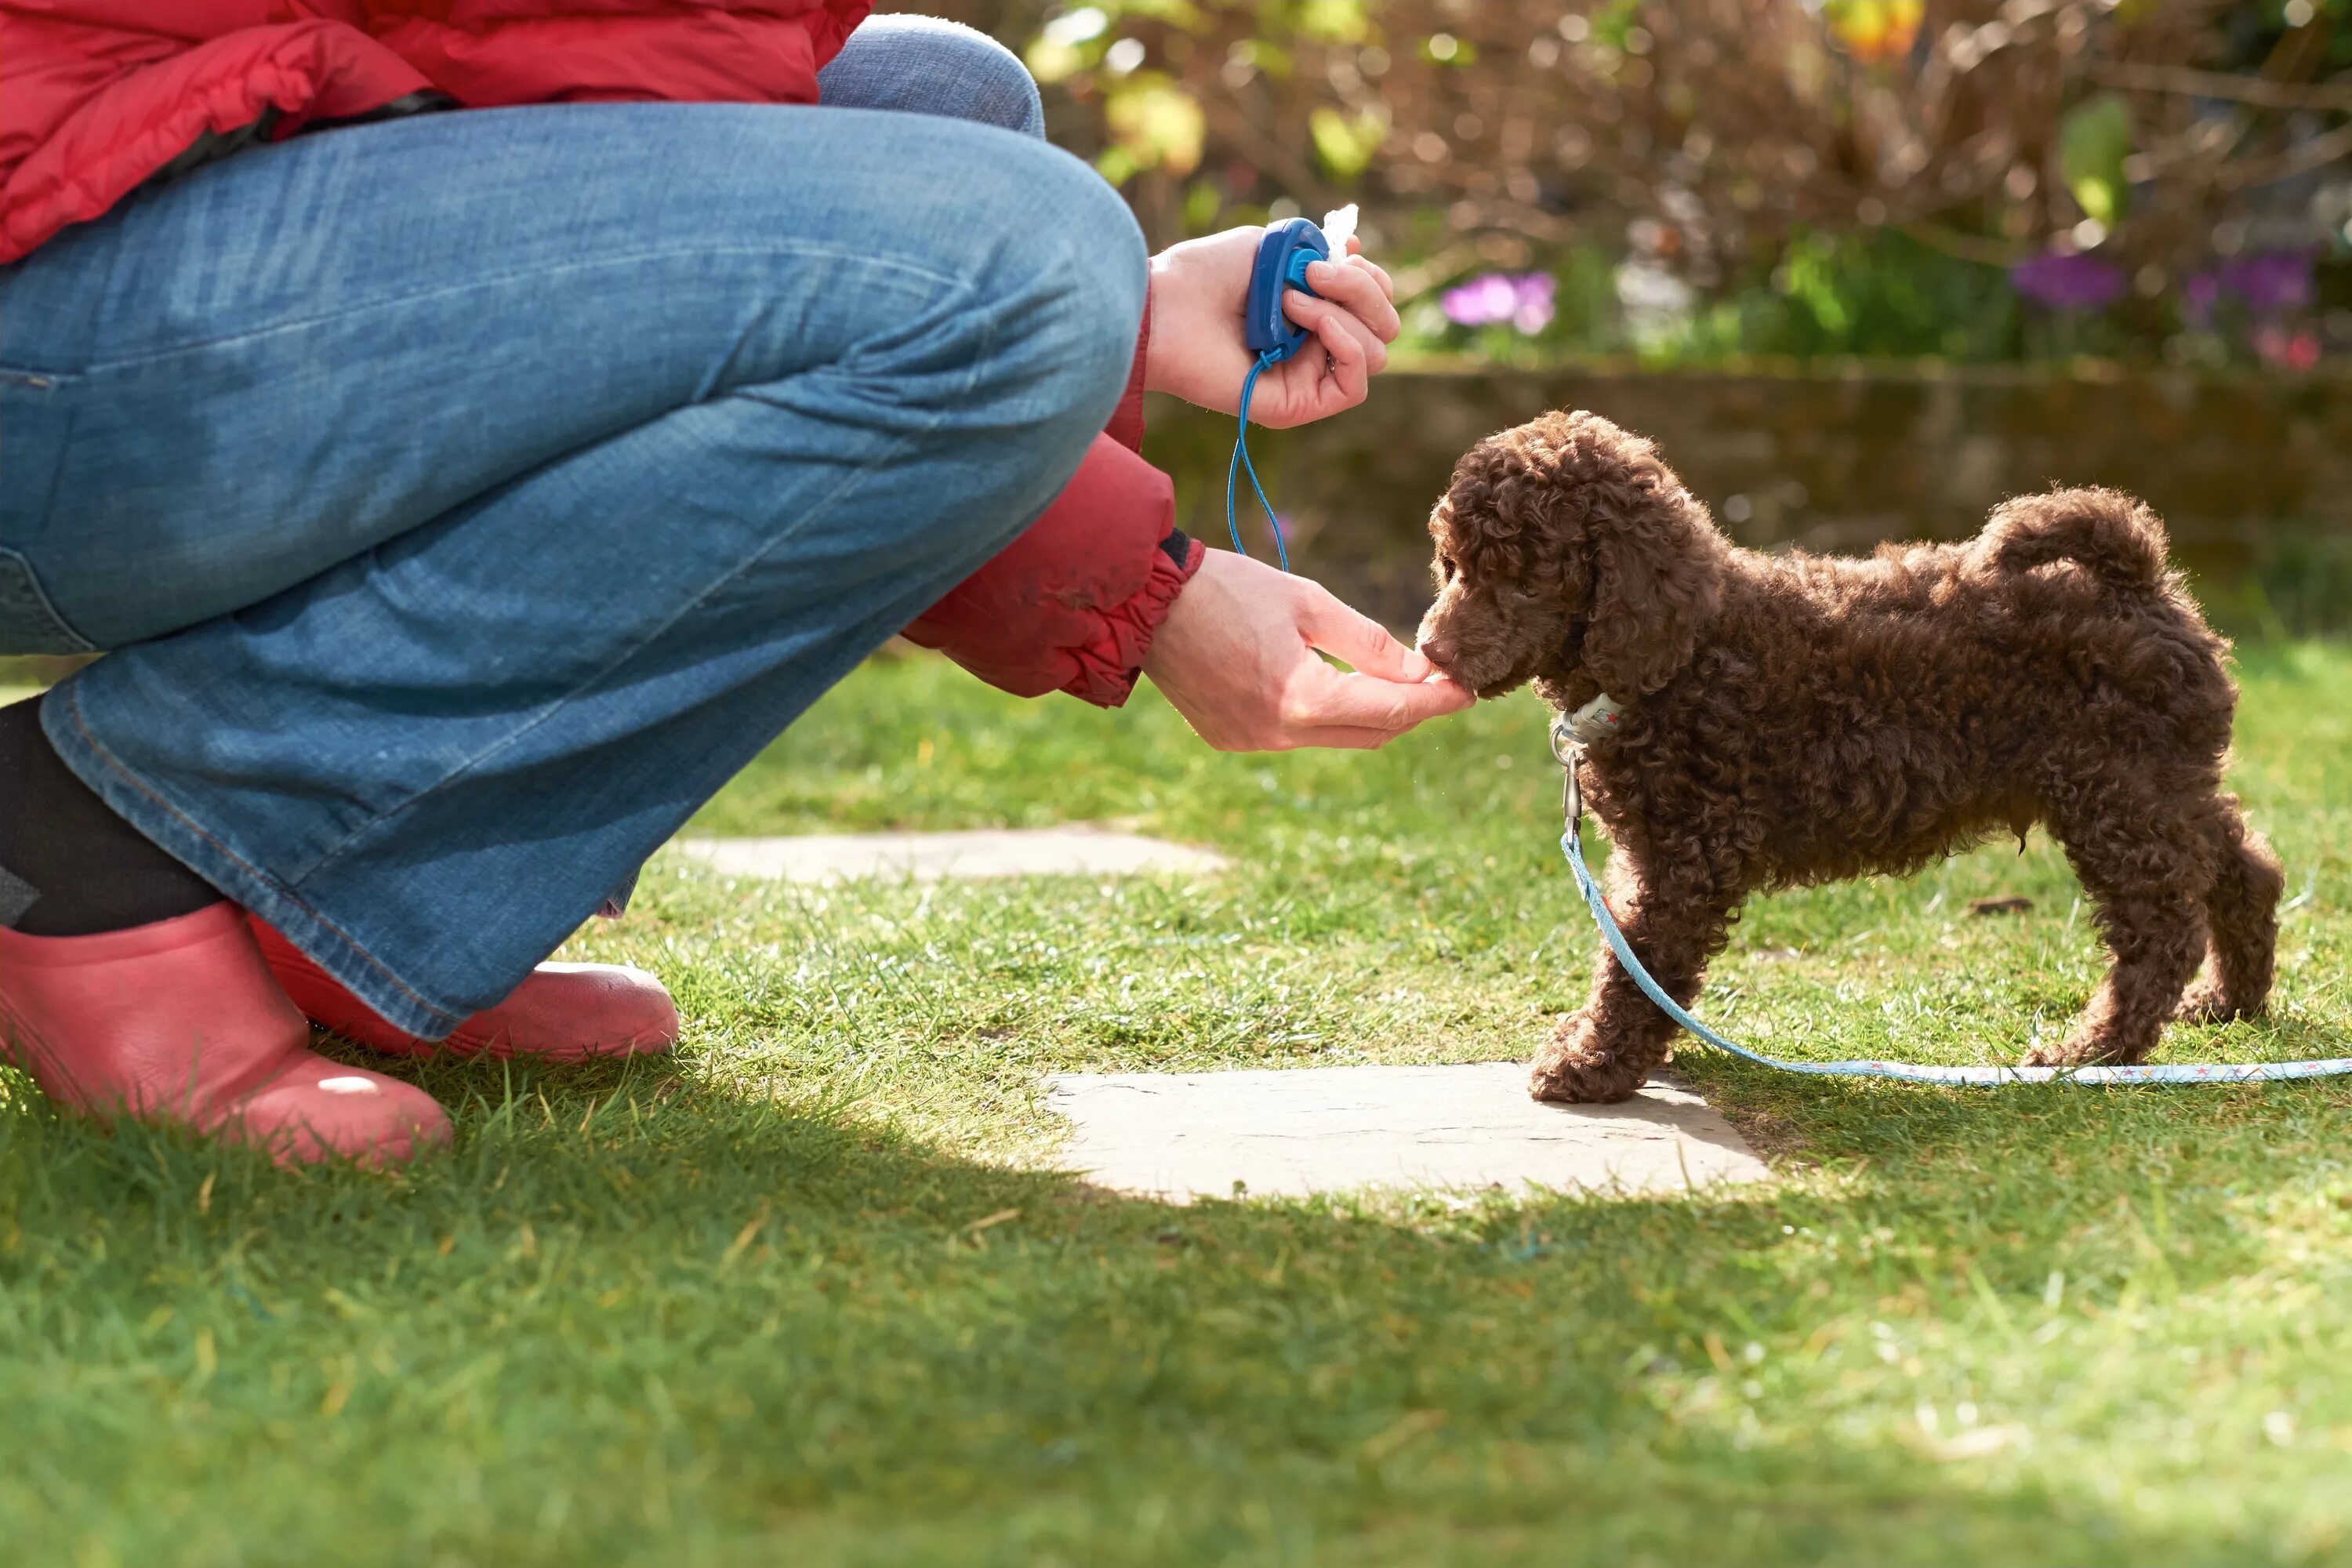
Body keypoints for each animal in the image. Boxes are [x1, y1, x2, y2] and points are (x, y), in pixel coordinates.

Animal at [1411, 411, 2277, 1109]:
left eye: (1521, 576)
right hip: (2160, 784)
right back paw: (2230, 1000)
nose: (1430, 650)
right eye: (1452, 564)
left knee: (2161, 928)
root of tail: (2140, 580)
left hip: (2116, 793)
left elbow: (1638, 965)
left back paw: (2092, 1051)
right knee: (2243, 866)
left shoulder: (1687, 855)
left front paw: (1591, 1065)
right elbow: (1631, 956)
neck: (1685, 652)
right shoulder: (1653, 852)